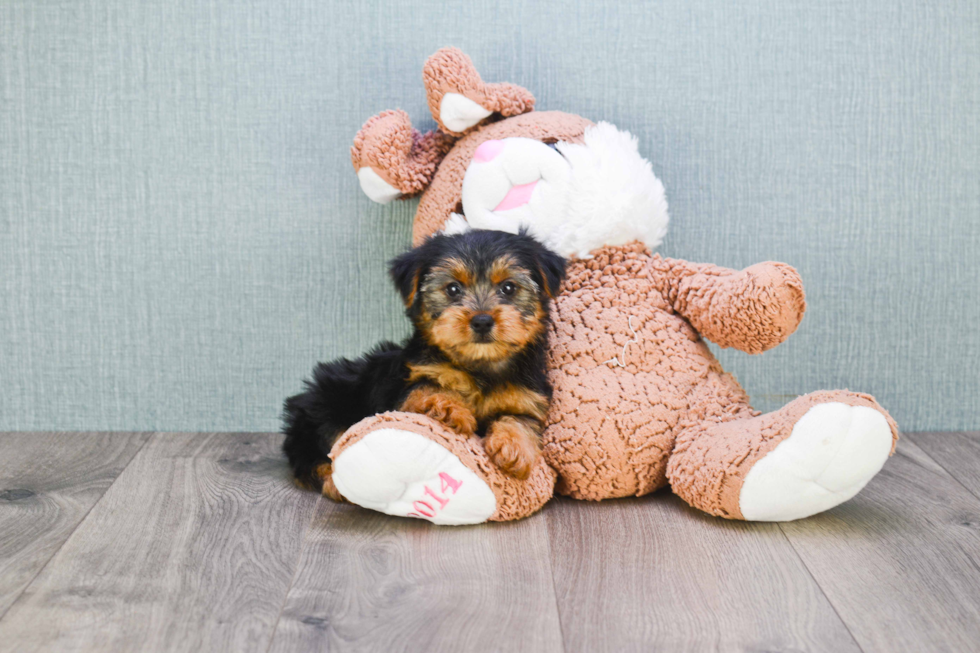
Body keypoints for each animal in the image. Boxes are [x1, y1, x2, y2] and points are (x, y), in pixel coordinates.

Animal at [280, 229, 564, 500]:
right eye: (452, 289)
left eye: (508, 288)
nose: (482, 320)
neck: (479, 364)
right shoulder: (411, 381)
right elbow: (427, 388)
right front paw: (449, 407)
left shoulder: (526, 398)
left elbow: (521, 420)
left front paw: (515, 448)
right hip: (325, 410)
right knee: (314, 456)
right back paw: (336, 483)